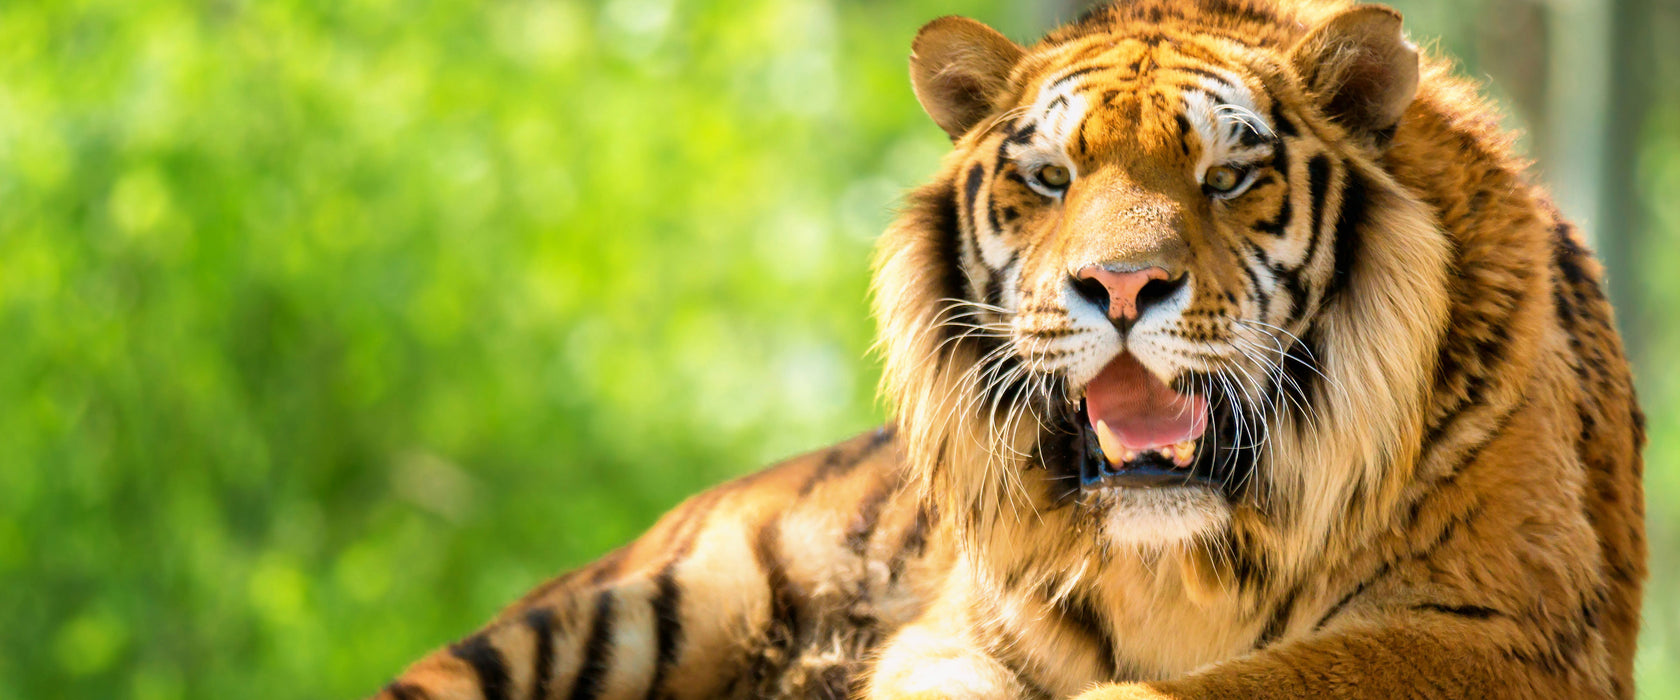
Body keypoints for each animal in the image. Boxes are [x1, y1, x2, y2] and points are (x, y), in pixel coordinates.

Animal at [367, 1, 1639, 698]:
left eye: (1230, 176)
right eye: (1052, 177)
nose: (1120, 285)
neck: (1183, 562)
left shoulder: (1500, 634)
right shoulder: (961, 631)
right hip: (629, 608)